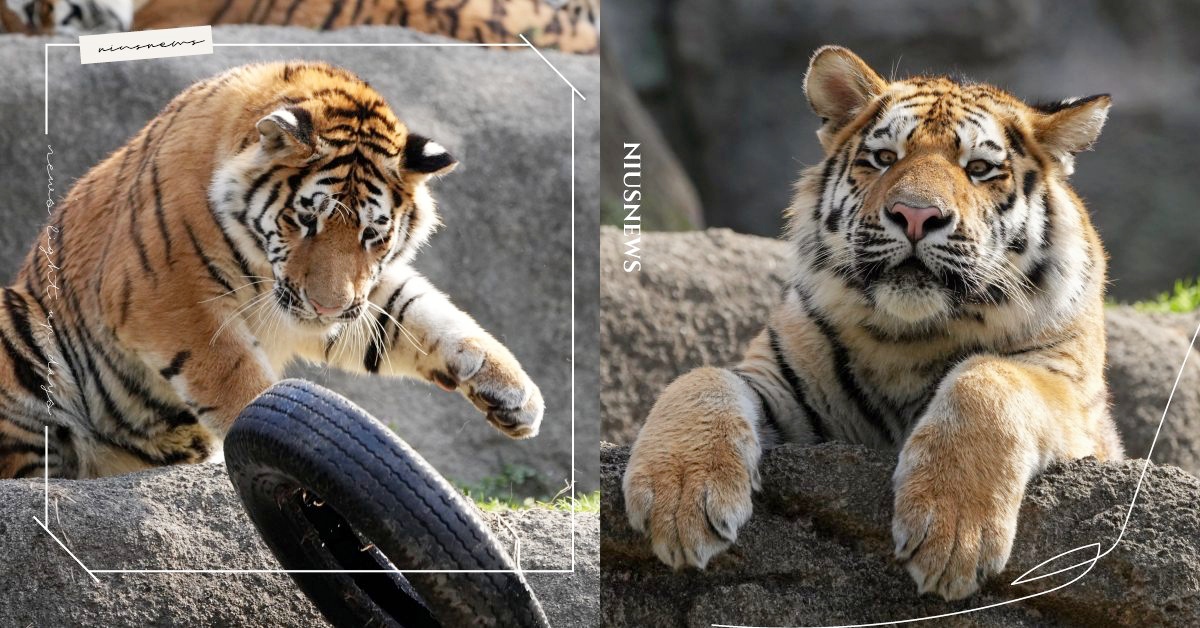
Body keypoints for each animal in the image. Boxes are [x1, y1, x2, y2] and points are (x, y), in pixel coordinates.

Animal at [0, 61, 544, 480]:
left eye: (372, 234)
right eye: (305, 220)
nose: (328, 307)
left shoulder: (354, 299)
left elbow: (423, 313)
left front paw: (513, 393)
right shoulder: (171, 299)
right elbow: (236, 378)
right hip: (18, 323)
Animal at [621, 46, 1123, 601]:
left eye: (978, 169)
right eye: (885, 158)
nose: (916, 215)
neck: (910, 337)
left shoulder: (1068, 390)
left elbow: (988, 379)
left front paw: (952, 536)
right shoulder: (782, 383)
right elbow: (702, 379)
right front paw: (680, 499)